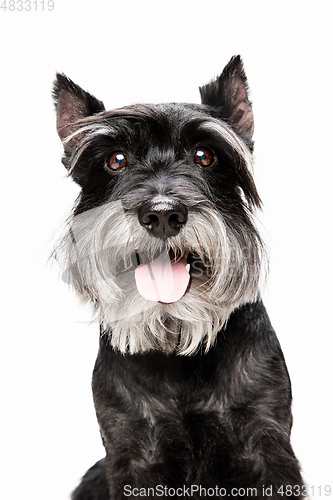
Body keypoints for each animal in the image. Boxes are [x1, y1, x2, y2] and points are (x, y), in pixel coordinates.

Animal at [52, 56, 304, 498]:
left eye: (205, 155)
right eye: (115, 159)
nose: (164, 213)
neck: (177, 340)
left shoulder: (266, 446)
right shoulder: (133, 453)